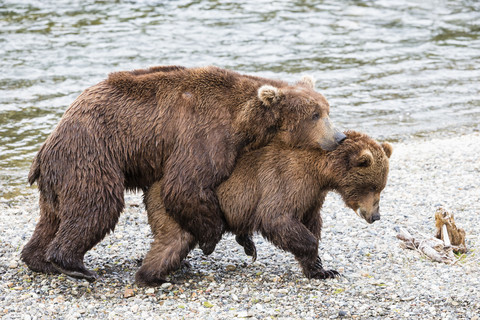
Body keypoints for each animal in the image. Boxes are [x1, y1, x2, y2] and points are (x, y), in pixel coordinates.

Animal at [22, 66, 346, 282]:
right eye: (315, 115)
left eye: (327, 109)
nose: (340, 136)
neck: (244, 122)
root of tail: (47, 145)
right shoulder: (204, 133)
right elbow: (185, 184)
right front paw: (210, 238)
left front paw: (246, 242)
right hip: (91, 154)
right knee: (97, 205)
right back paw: (73, 265)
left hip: (61, 174)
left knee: (53, 216)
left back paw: (39, 260)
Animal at [137, 130, 392, 284]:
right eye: (373, 186)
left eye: (382, 186)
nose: (376, 216)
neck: (322, 173)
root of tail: (151, 185)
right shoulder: (289, 180)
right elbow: (277, 218)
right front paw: (318, 261)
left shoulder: (313, 196)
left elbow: (311, 222)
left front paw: (322, 269)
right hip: (179, 208)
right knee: (173, 241)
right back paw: (151, 276)